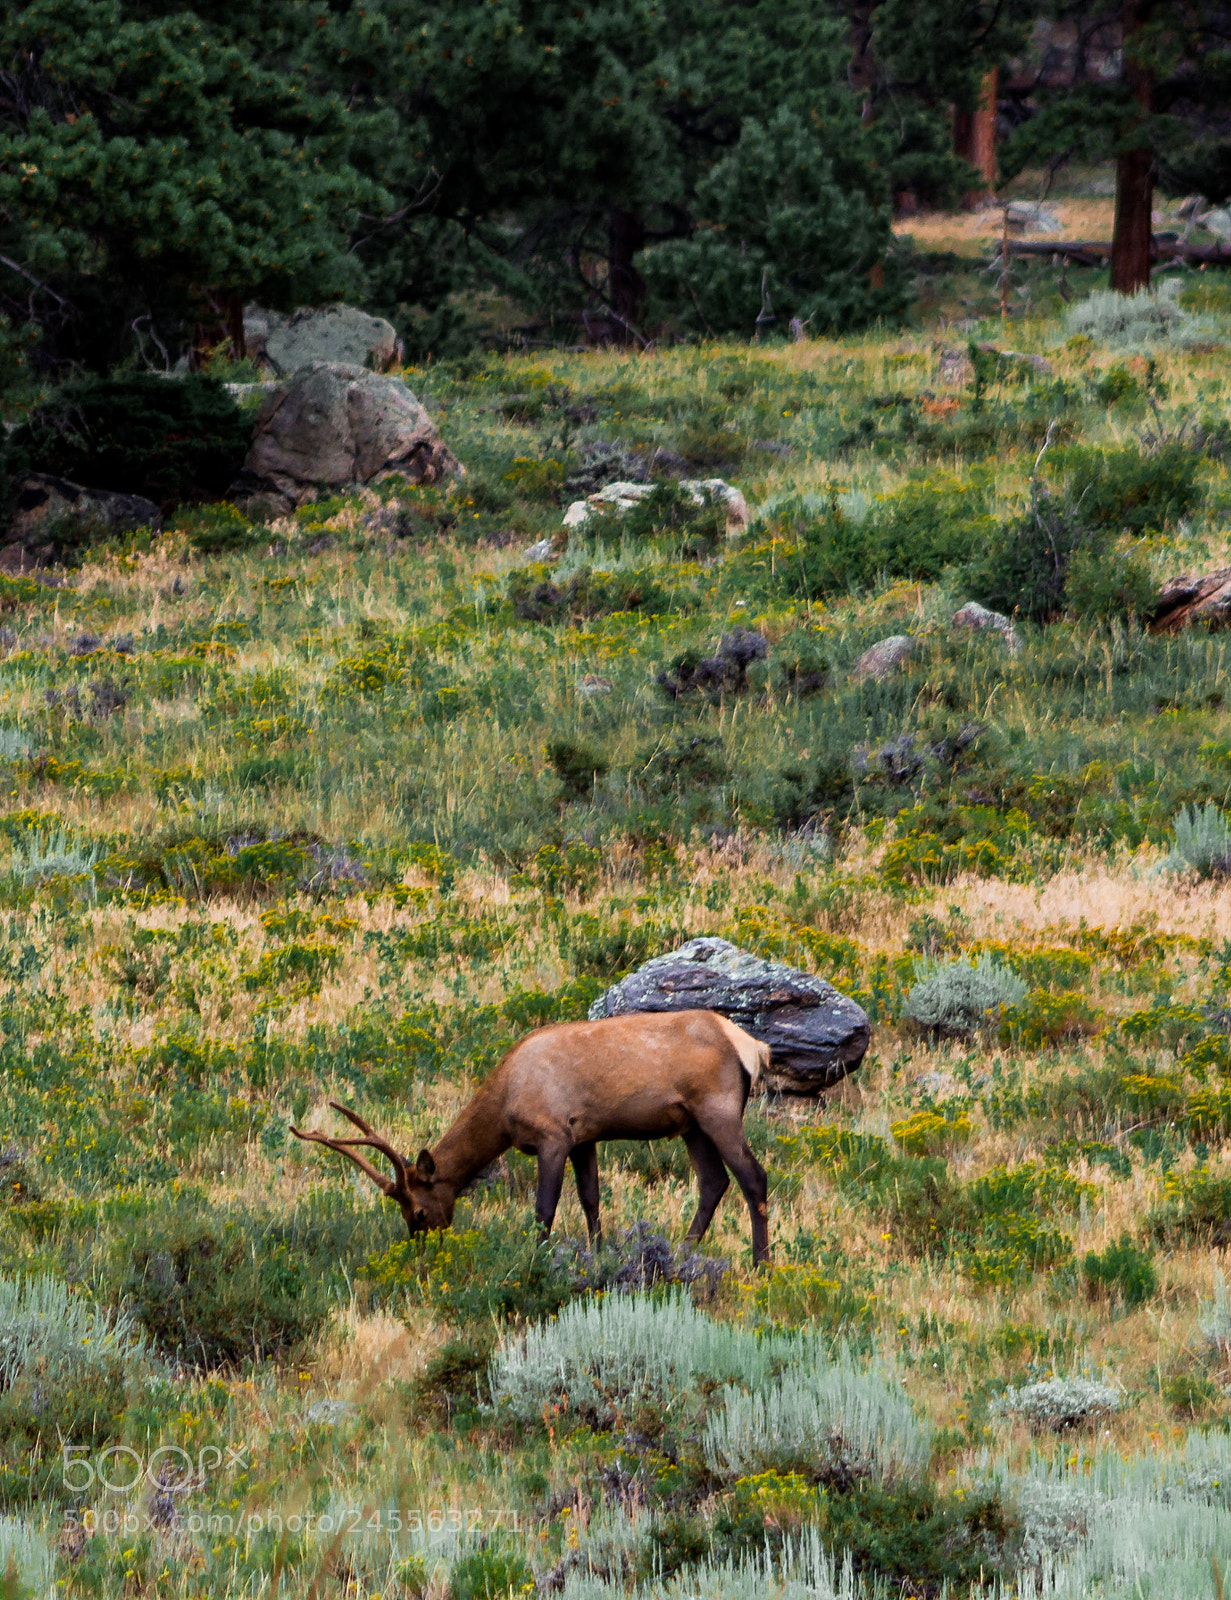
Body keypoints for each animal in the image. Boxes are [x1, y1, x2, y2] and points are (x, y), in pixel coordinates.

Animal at [291, 1009, 772, 1263]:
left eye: (420, 1211)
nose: (421, 1251)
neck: (505, 1107)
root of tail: (753, 1047)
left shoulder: (553, 1135)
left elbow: (545, 1209)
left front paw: (538, 1260)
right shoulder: (584, 1137)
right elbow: (591, 1199)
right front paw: (598, 1254)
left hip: (718, 1110)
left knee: (753, 1177)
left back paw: (761, 1263)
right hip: (690, 1124)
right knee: (714, 1181)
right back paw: (683, 1251)